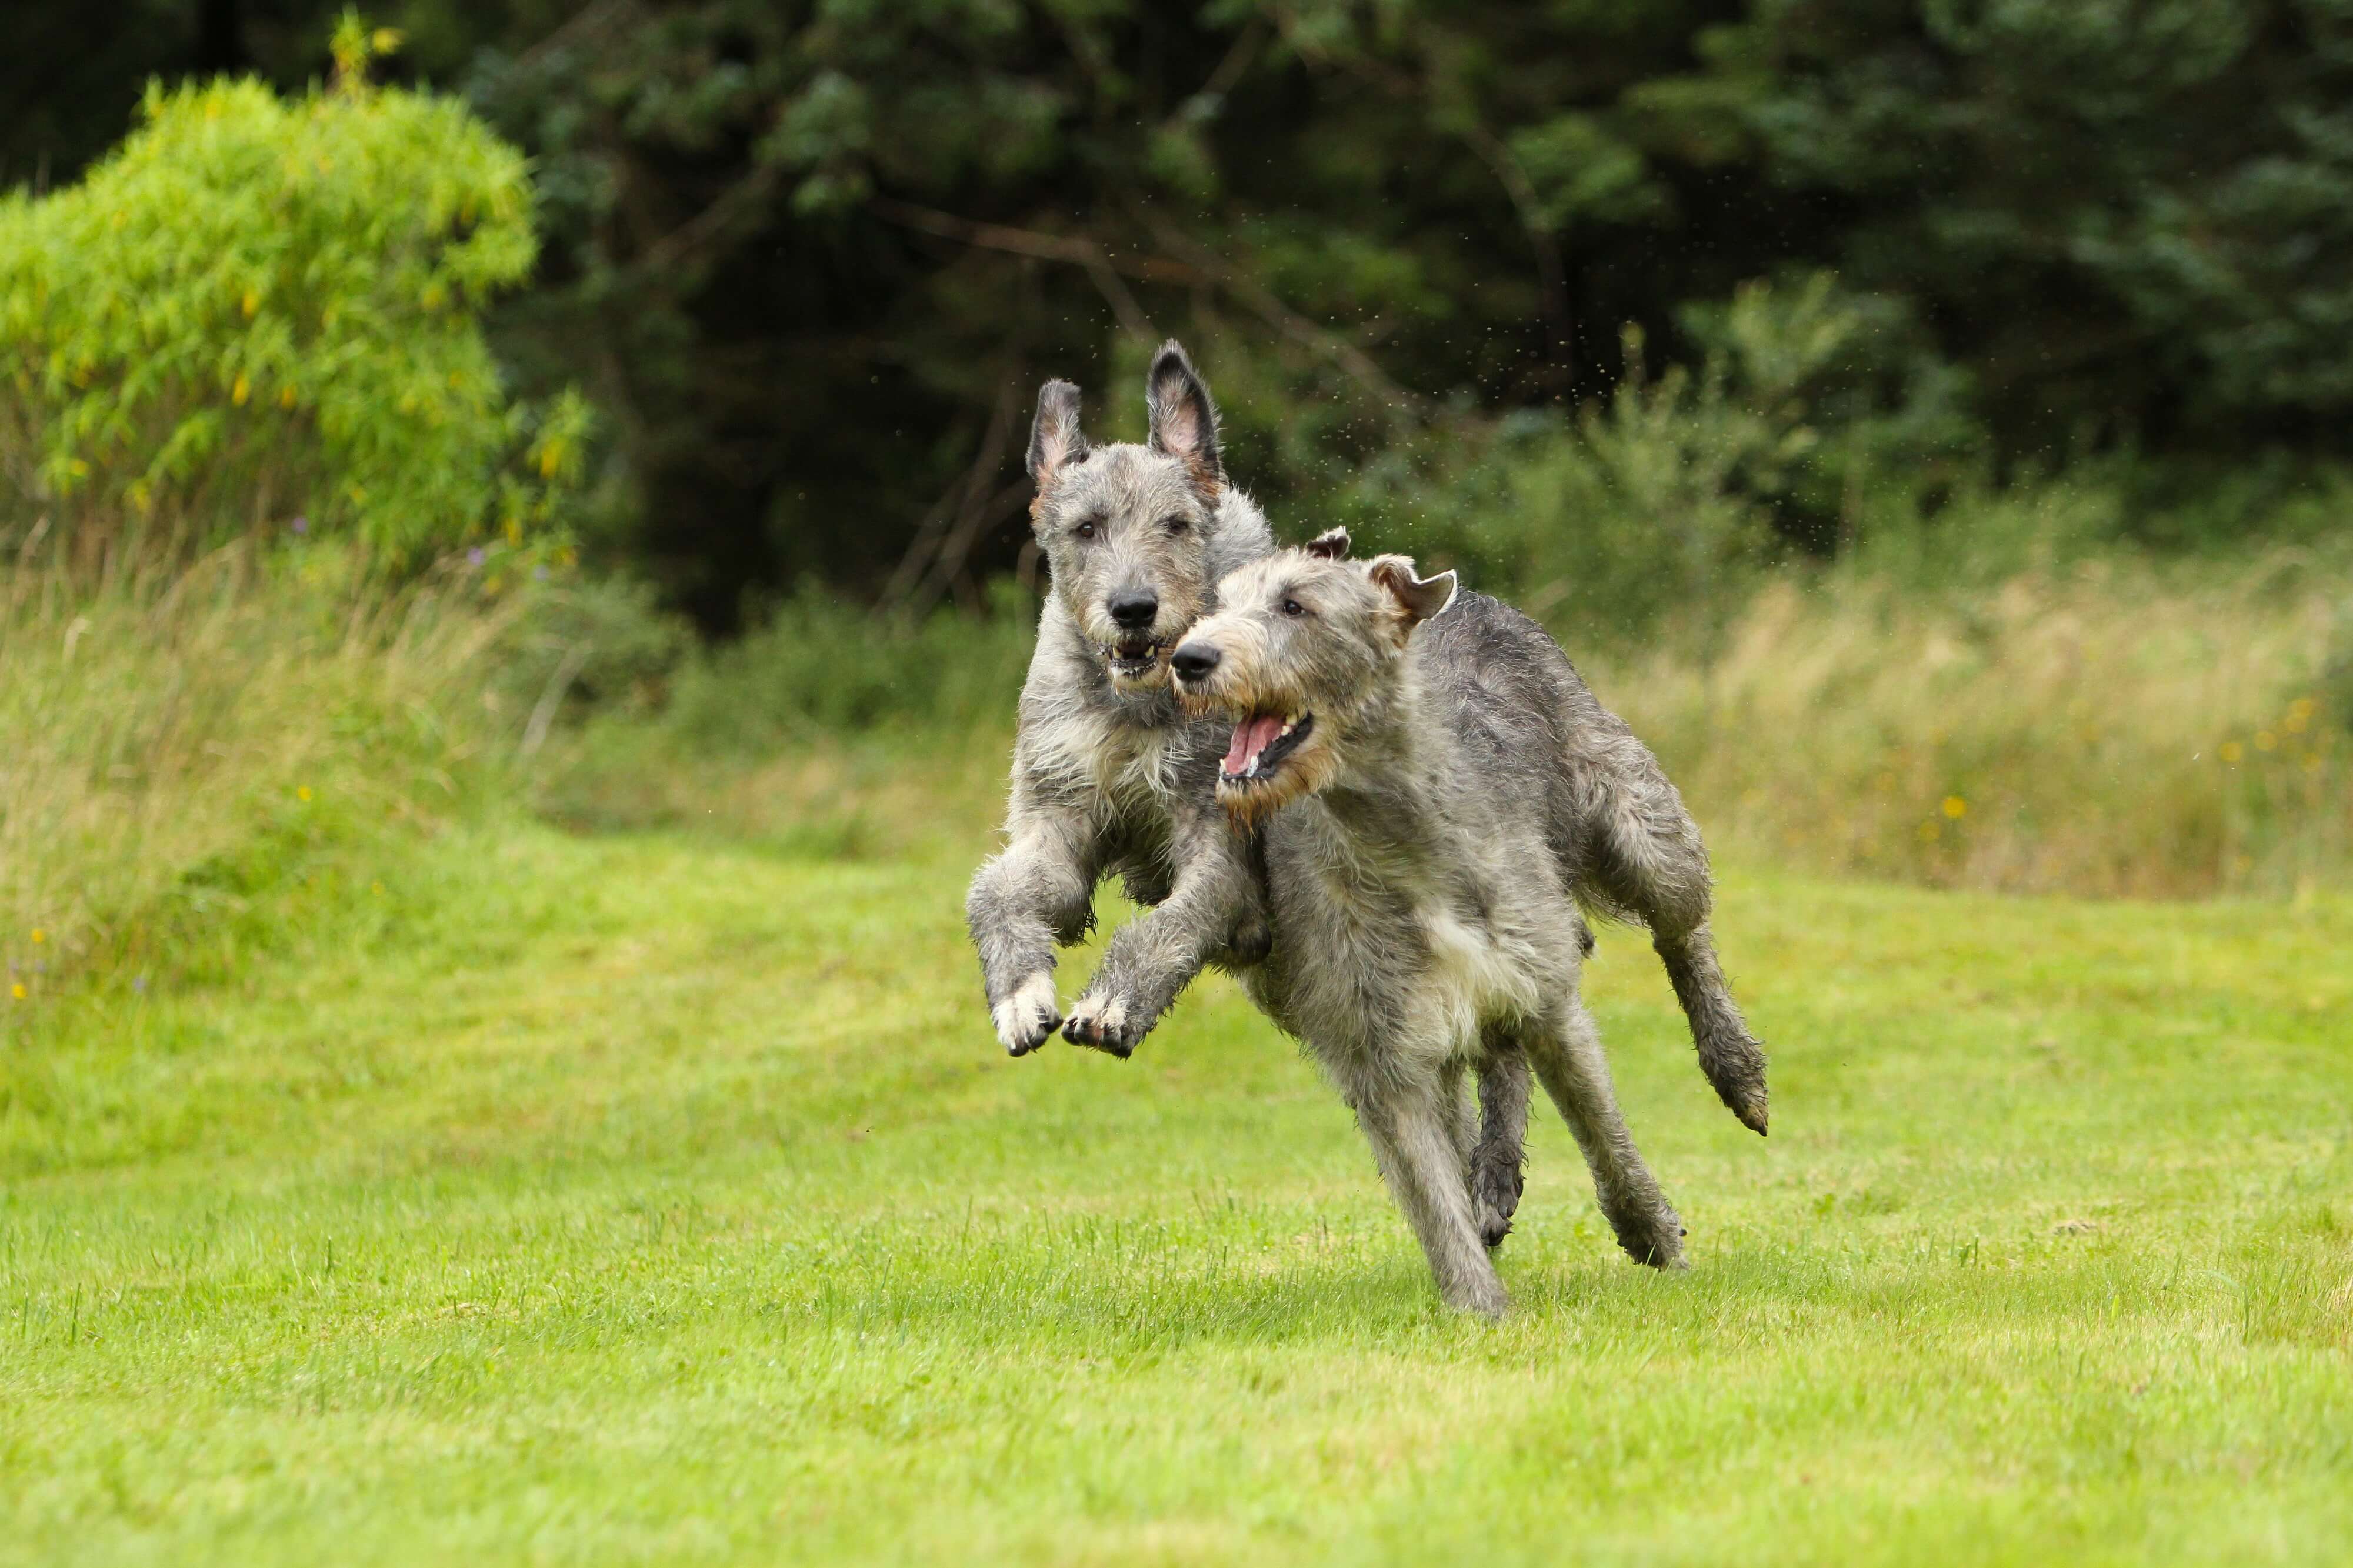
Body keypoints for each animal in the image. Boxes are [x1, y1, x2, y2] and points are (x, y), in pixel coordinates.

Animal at [1162, 536, 1769, 1309]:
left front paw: (1653, 1233)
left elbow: (1603, 1128)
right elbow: (1430, 1190)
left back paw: (1737, 1068)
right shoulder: (1377, 1043)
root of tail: (1472, 596)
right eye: (1216, 606)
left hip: (1631, 811)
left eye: (1295, 605)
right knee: (1493, 1062)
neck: (1398, 836)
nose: (1189, 658)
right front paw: (1480, 1306)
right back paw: (1494, 1173)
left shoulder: (1548, 992)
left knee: (1680, 927)